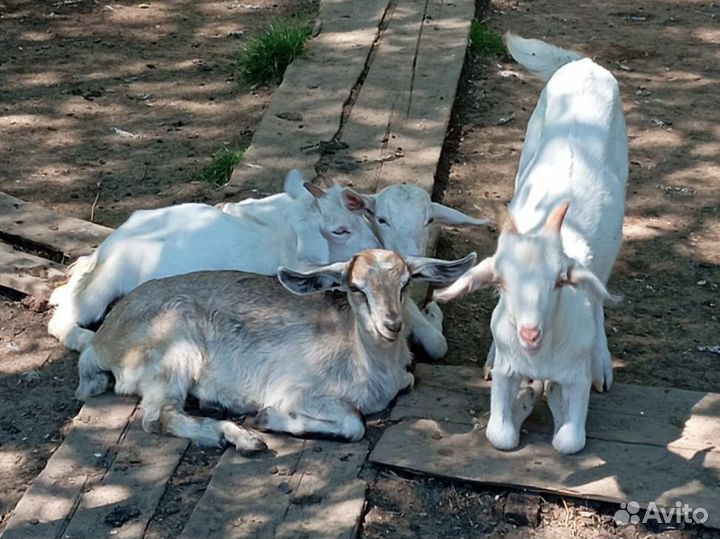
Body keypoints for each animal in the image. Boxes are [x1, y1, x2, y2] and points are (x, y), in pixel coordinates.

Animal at [48, 170, 380, 352]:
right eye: (340, 230)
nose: (376, 247)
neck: (283, 235)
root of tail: (106, 248)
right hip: (108, 280)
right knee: (66, 316)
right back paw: (84, 339)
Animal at [75, 249, 477, 449]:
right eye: (355, 287)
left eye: (406, 282)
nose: (391, 323)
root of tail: (100, 342)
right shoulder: (295, 390)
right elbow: (354, 424)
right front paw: (266, 418)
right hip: (173, 351)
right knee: (158, 417)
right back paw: (237, 437)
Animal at [434, 33, 627, 454]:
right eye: (501, 281)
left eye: (559, 281)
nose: (529, 334)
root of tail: (583, 63)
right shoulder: (510, 370)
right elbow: (500, 435)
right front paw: (523, 397)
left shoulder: (573, 376)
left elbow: (569, 441)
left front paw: (552, 396)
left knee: (600, 291)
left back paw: (601, 362)